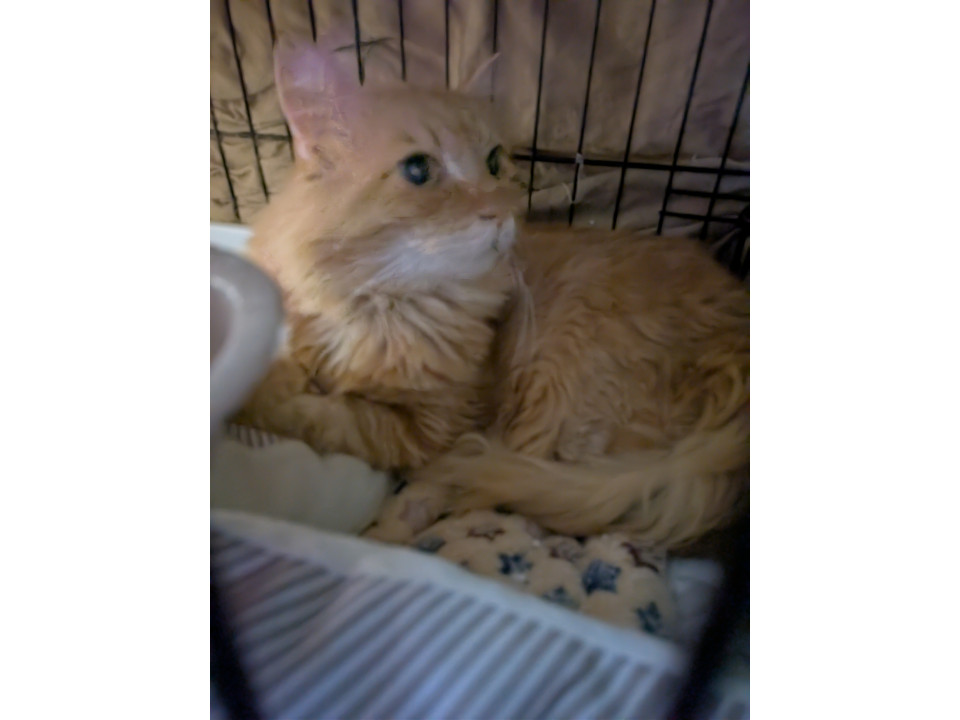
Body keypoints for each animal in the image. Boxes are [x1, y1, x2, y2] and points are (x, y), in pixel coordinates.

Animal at [235, 36, 750, 548]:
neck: (385, 305)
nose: (499, 214)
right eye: (418, 170)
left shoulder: (431, 427)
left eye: (494, 162)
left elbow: (321, 416)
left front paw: (253, 398)